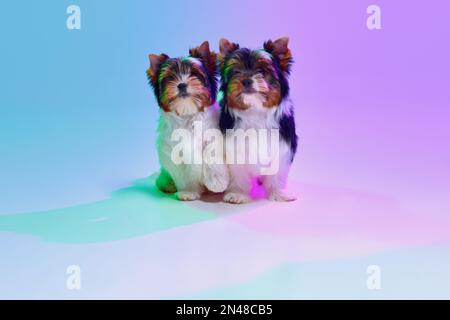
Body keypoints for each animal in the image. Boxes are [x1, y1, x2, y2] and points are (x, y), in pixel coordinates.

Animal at [149, 40, 229, 200]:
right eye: (170, 78)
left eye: (194, 74)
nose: (181, 84)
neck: (188, 115)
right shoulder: (173, 149)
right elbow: (184, 171)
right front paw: (189, 191)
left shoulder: (213, 135)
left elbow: (211, 153)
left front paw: (217, 181)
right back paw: (167, 184)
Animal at [219, 37, 298, 202]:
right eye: (236, 71)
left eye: (261, 71)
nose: (247, 80)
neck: (255, 109)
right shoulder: (235, 148)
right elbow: (238, 173)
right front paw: (238, 193)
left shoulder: (281, 146)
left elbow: (277, 171)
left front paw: (278, 193)